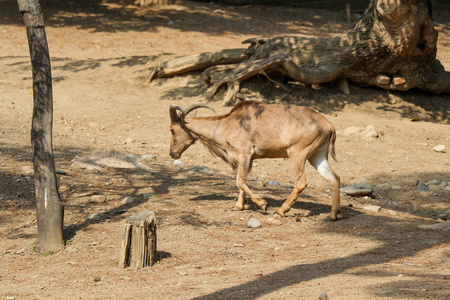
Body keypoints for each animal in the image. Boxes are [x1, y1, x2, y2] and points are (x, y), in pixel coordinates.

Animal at [171, 101, 340, 220]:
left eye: (172, 130)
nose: (172, 153)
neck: (226, 124)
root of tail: (328, 125)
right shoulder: (244, 159)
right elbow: (240, 181)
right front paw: (239, 206)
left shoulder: (245, 154)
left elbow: (239, 181)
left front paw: (262, 204)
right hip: (317, 156)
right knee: (334, 178)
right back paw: (332, 215)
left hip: (297, 154)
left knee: (301, 182)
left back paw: (281, 210)